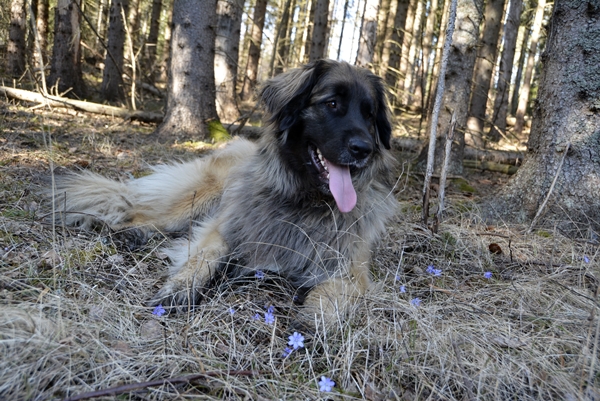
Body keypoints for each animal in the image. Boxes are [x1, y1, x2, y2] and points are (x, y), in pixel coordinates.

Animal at [50, 60, 398, 328]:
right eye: (332, 104)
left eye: (369, 115)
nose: (363, 149)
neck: (302, 202)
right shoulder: (223, 229)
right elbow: (202, 258)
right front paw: (180, 289)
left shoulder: (351, 269)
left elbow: (333, 294)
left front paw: (314, 319)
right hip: (201, 196)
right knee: (141, 212)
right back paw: (129, 232)